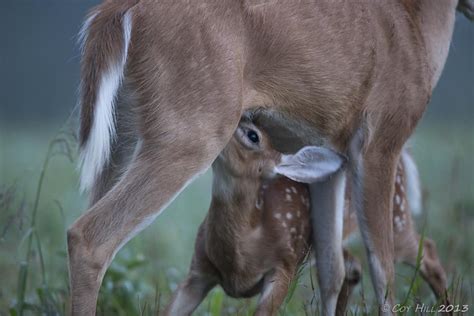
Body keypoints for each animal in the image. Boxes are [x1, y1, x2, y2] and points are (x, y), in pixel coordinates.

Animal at [69, 1, 466, 314]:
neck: (415, 33)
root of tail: (117, 10)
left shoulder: (329, 153)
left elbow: (331, 270)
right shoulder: (381, 139)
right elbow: (382, 272)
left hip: (121, 138)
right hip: (191, 128)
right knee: (88, 236)